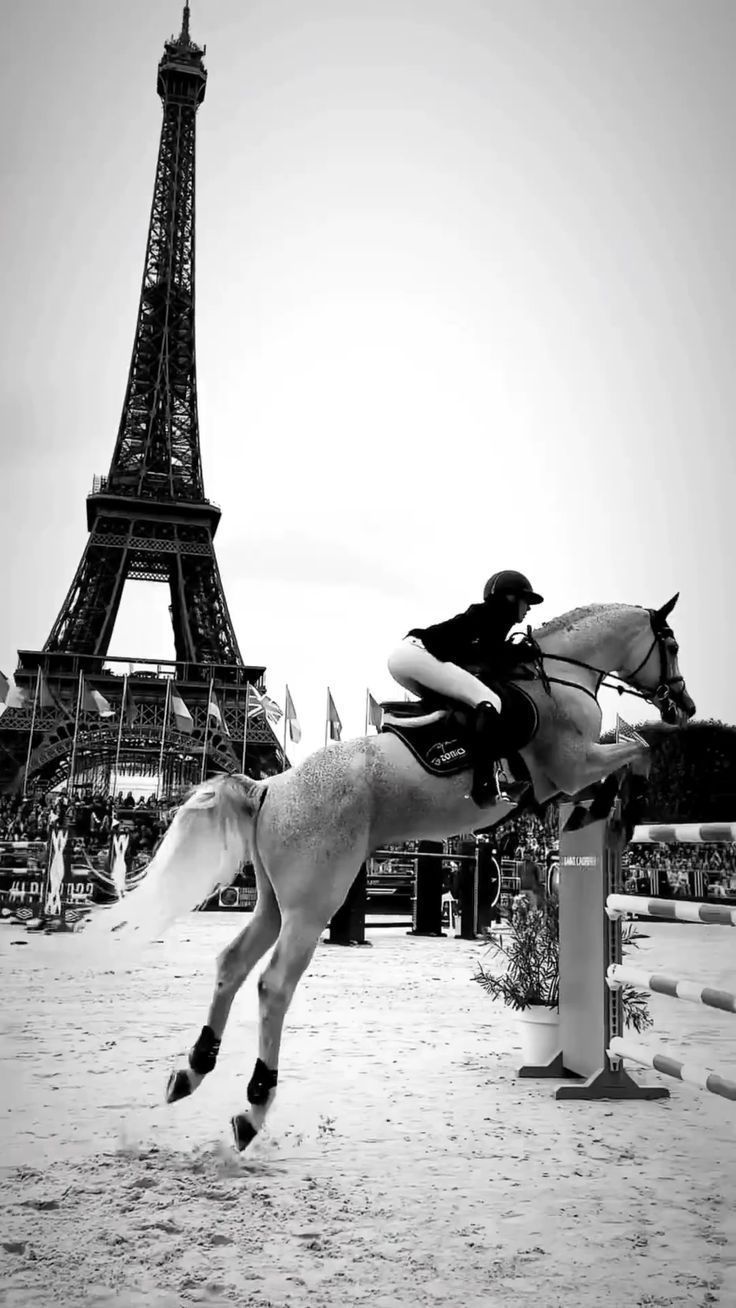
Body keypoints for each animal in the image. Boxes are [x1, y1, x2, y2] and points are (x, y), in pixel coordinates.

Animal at [86, 599, 695, 1151]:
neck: (563, 674)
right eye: (670, 644)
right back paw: (253, 1109)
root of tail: (269, 787)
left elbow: (630, 753)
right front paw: (618, 810)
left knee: (232, 964)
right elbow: (638, 749)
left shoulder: (566, 779)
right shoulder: (571, 766)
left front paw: (606, 809)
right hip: (315, 903)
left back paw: (191, 1071)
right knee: (273, 984)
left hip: (275, 902)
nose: (684, 705)